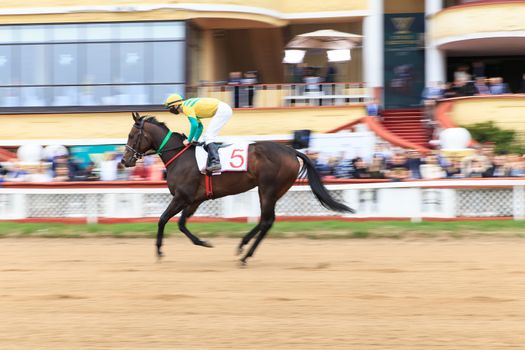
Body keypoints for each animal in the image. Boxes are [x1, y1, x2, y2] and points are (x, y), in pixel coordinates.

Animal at [122, 112, 352, 262]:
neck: (179, 156)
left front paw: (159, 251)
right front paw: (203, 242)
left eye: (132, 135)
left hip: (267, 189)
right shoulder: (194, 200)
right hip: (274, 191)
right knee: (266, 220)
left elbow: (162, 219)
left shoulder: (181, 197)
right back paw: (243, 246)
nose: (124, 161)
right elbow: (181, 224)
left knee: (267, 221)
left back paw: (245, 254)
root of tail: (292, 151)